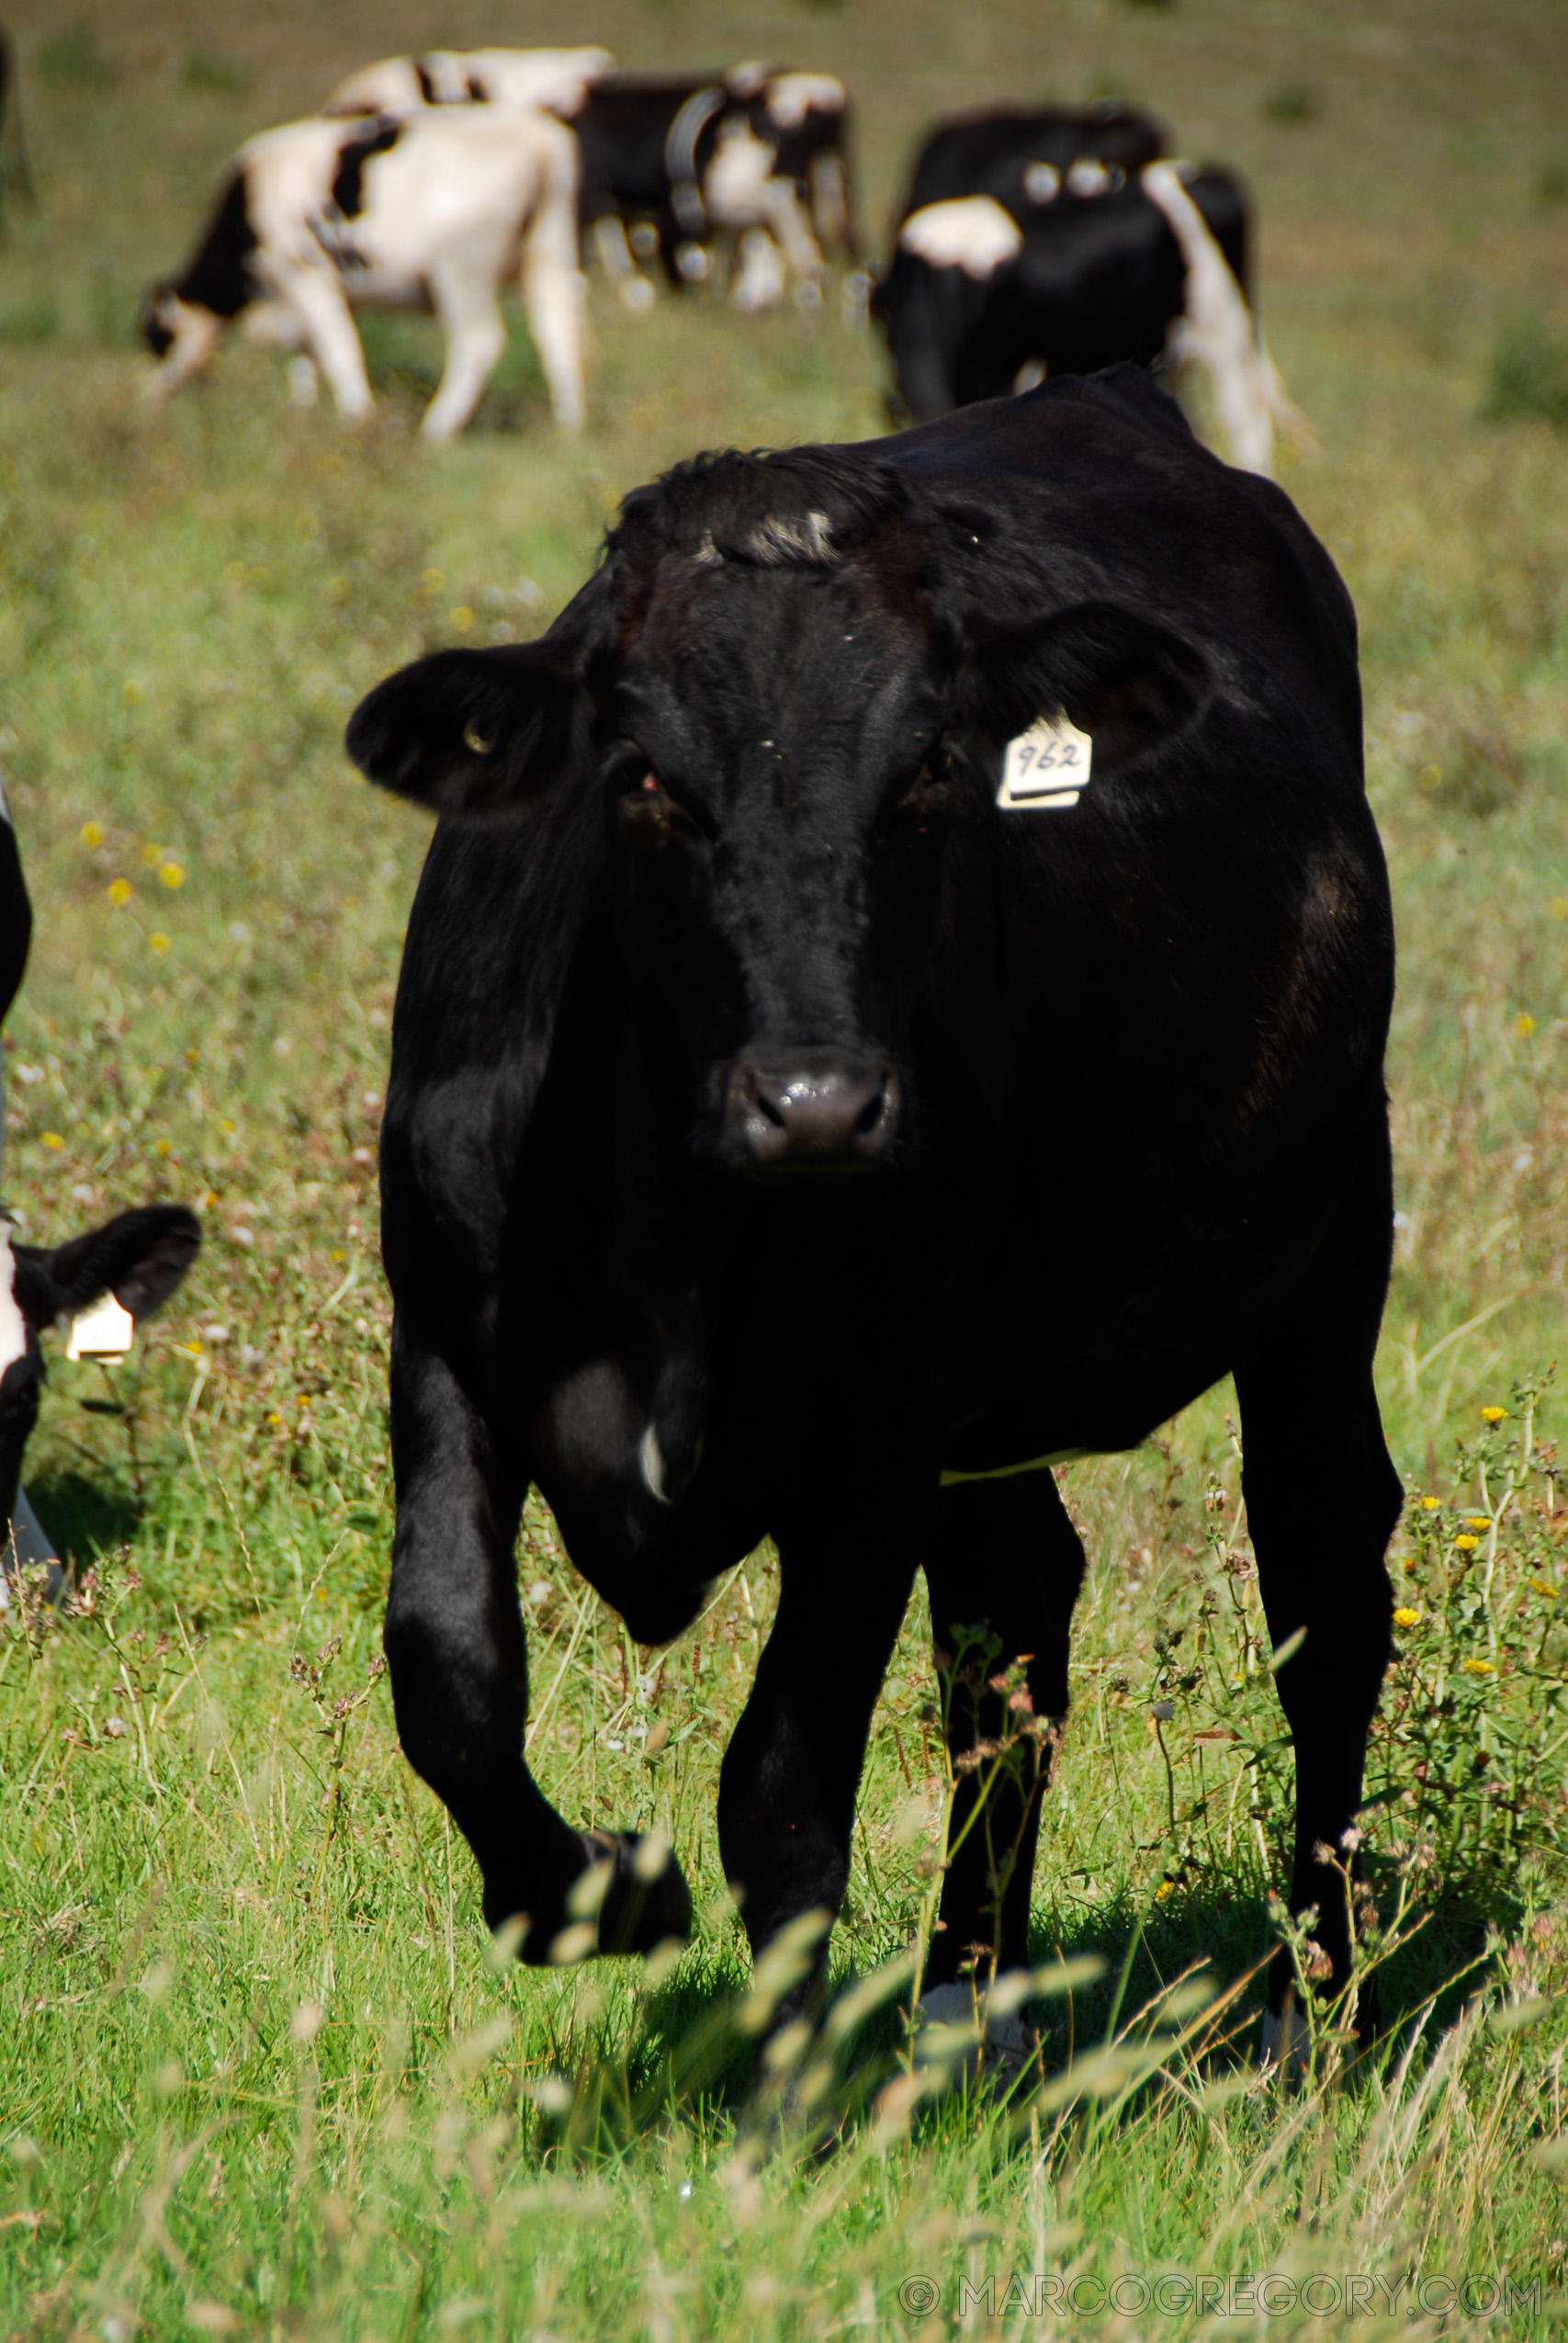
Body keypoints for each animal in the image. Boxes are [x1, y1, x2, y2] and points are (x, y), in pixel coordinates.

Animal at [137, 107, 581, 442]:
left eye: (157, 337)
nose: (148, 399)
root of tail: (535, 136)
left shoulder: (305, 276)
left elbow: (339, 350)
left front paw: (357, 419)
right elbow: (307, 354)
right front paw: (301, 413)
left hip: (461, 273)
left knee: (480, 342)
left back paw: (436, 429)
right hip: (550, 256)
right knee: (557, 331)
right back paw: (567, 428)